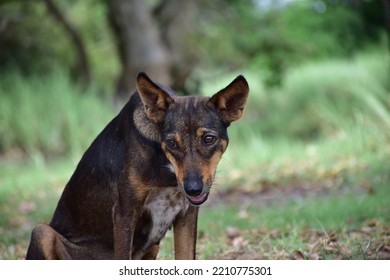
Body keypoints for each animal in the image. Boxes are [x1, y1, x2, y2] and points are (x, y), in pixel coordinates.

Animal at [25, 71, 248, 260]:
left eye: (209, 139)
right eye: (172, 143)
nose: (193, 189)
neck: (164, 161)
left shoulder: (187, 214)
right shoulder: (125, 212)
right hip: (42, 232)